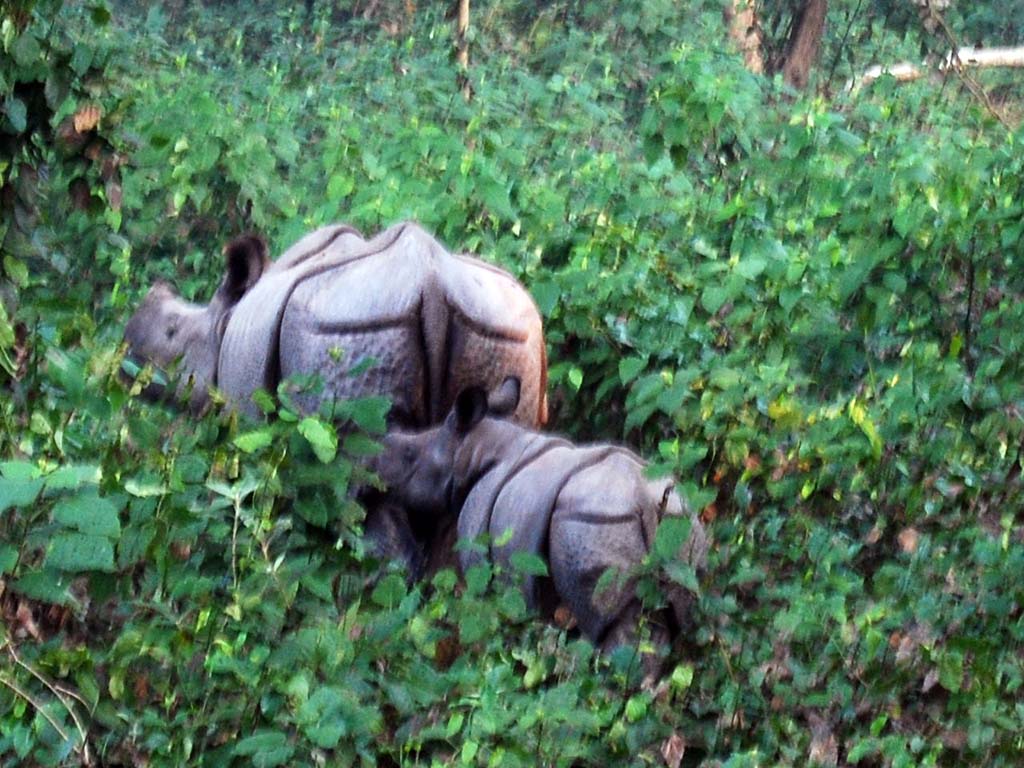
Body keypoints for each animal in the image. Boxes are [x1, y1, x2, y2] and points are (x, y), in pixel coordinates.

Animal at [371, 378, 708, 651]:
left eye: (410, 456)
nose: (376, 457)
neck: (473, 449)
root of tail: (642, 497)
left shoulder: (478, 538)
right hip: (680, 523)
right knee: (680, 610)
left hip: (590, 523)